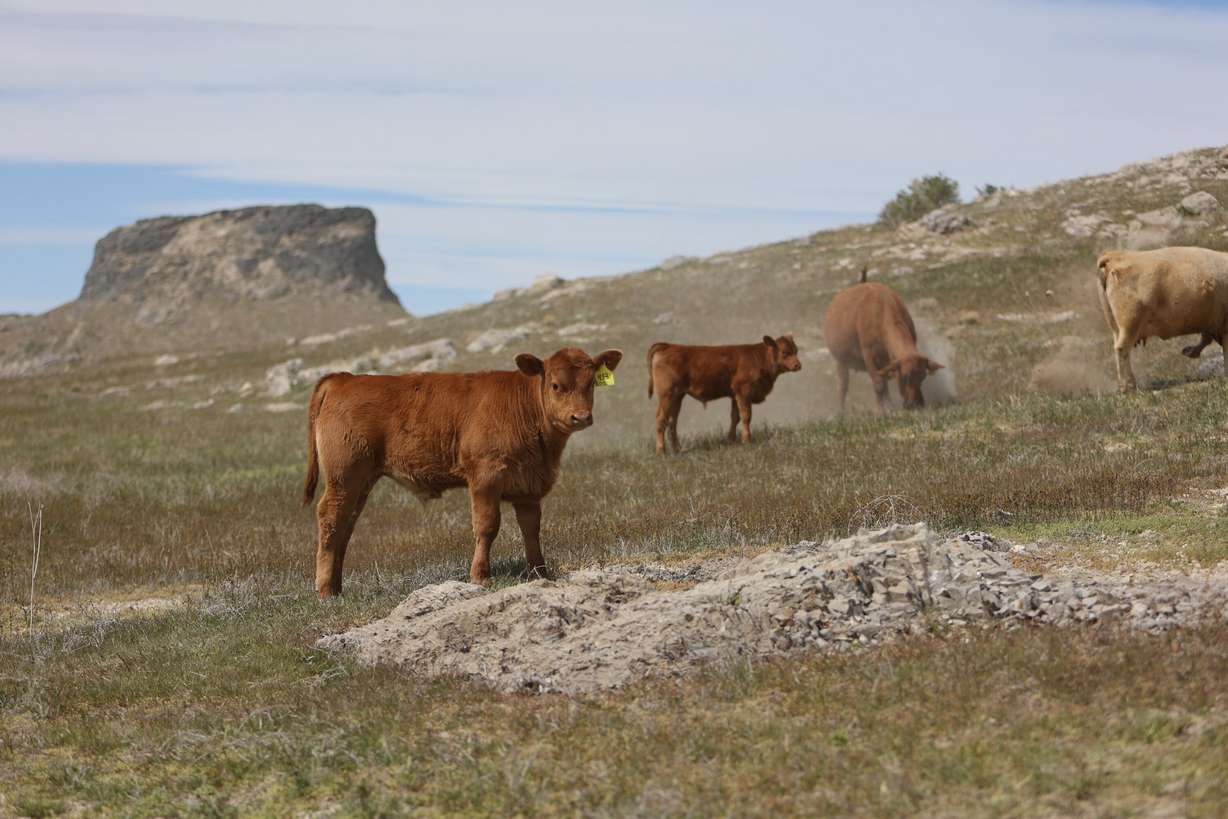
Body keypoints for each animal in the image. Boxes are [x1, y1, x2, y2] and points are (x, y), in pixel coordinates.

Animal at [302, 346, 622, 597]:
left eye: (591, 383)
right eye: (555, 385)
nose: (580, 417)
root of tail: (344, 379)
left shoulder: (529, 487)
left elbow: (531, 529)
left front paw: (539, 572)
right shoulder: (485, 476)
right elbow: (487, 526)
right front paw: (480, 575)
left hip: (362, 479)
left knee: (346, 524)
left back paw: (337, 587)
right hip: (344, 475)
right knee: (330, 516)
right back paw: (325, 590)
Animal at [646, 336, 801, 455]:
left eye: (796, 350)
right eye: (784, 352)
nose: (798, 365)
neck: (760, 359)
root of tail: (669, 346)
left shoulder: (734, 395)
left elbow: (735, 417)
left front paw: (731, 440)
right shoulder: (743, 391)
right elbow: (746, 416)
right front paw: (747, 440)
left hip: (677, 395)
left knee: (672, 421)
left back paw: (677, 449)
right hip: (667, 394)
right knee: (661, 419)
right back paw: (661, 452)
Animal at [823, 281, 943, 413]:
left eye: (922, 377)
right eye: (905, 377)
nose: (915, 404)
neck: (881, 311)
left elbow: (884, 384)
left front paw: (889, 407)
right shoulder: (869, 356)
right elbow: (879, 385)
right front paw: (880, 410)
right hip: (841, 361)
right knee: (842, 385)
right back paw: (841, 411)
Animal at [1096, 247, 1228, 392]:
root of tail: (1114, 256)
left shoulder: (1214, 322)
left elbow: (1207, 338)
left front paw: (1190, 351)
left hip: (1115, 325)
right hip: (1130, 322)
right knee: (1121, 349)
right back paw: (1129, 386)